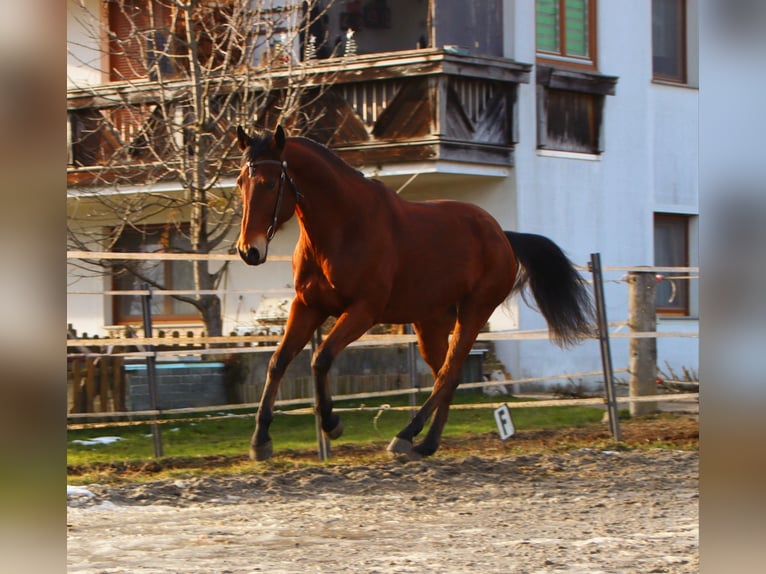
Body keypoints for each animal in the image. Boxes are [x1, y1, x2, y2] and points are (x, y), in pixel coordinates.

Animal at [237, 126, 596, 464]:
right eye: (241, 182)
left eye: (270, 183)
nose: (248, 251)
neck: (342, 229)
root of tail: (502, 236)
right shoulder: (308, 306)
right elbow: (278, 361)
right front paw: (260, 441)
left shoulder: (363, 311)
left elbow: (320, 358)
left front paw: (332, 424)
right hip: (431, 324)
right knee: (447, 377)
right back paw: (426, 444)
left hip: (473, 313)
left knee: (448, 374)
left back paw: (405, 437)